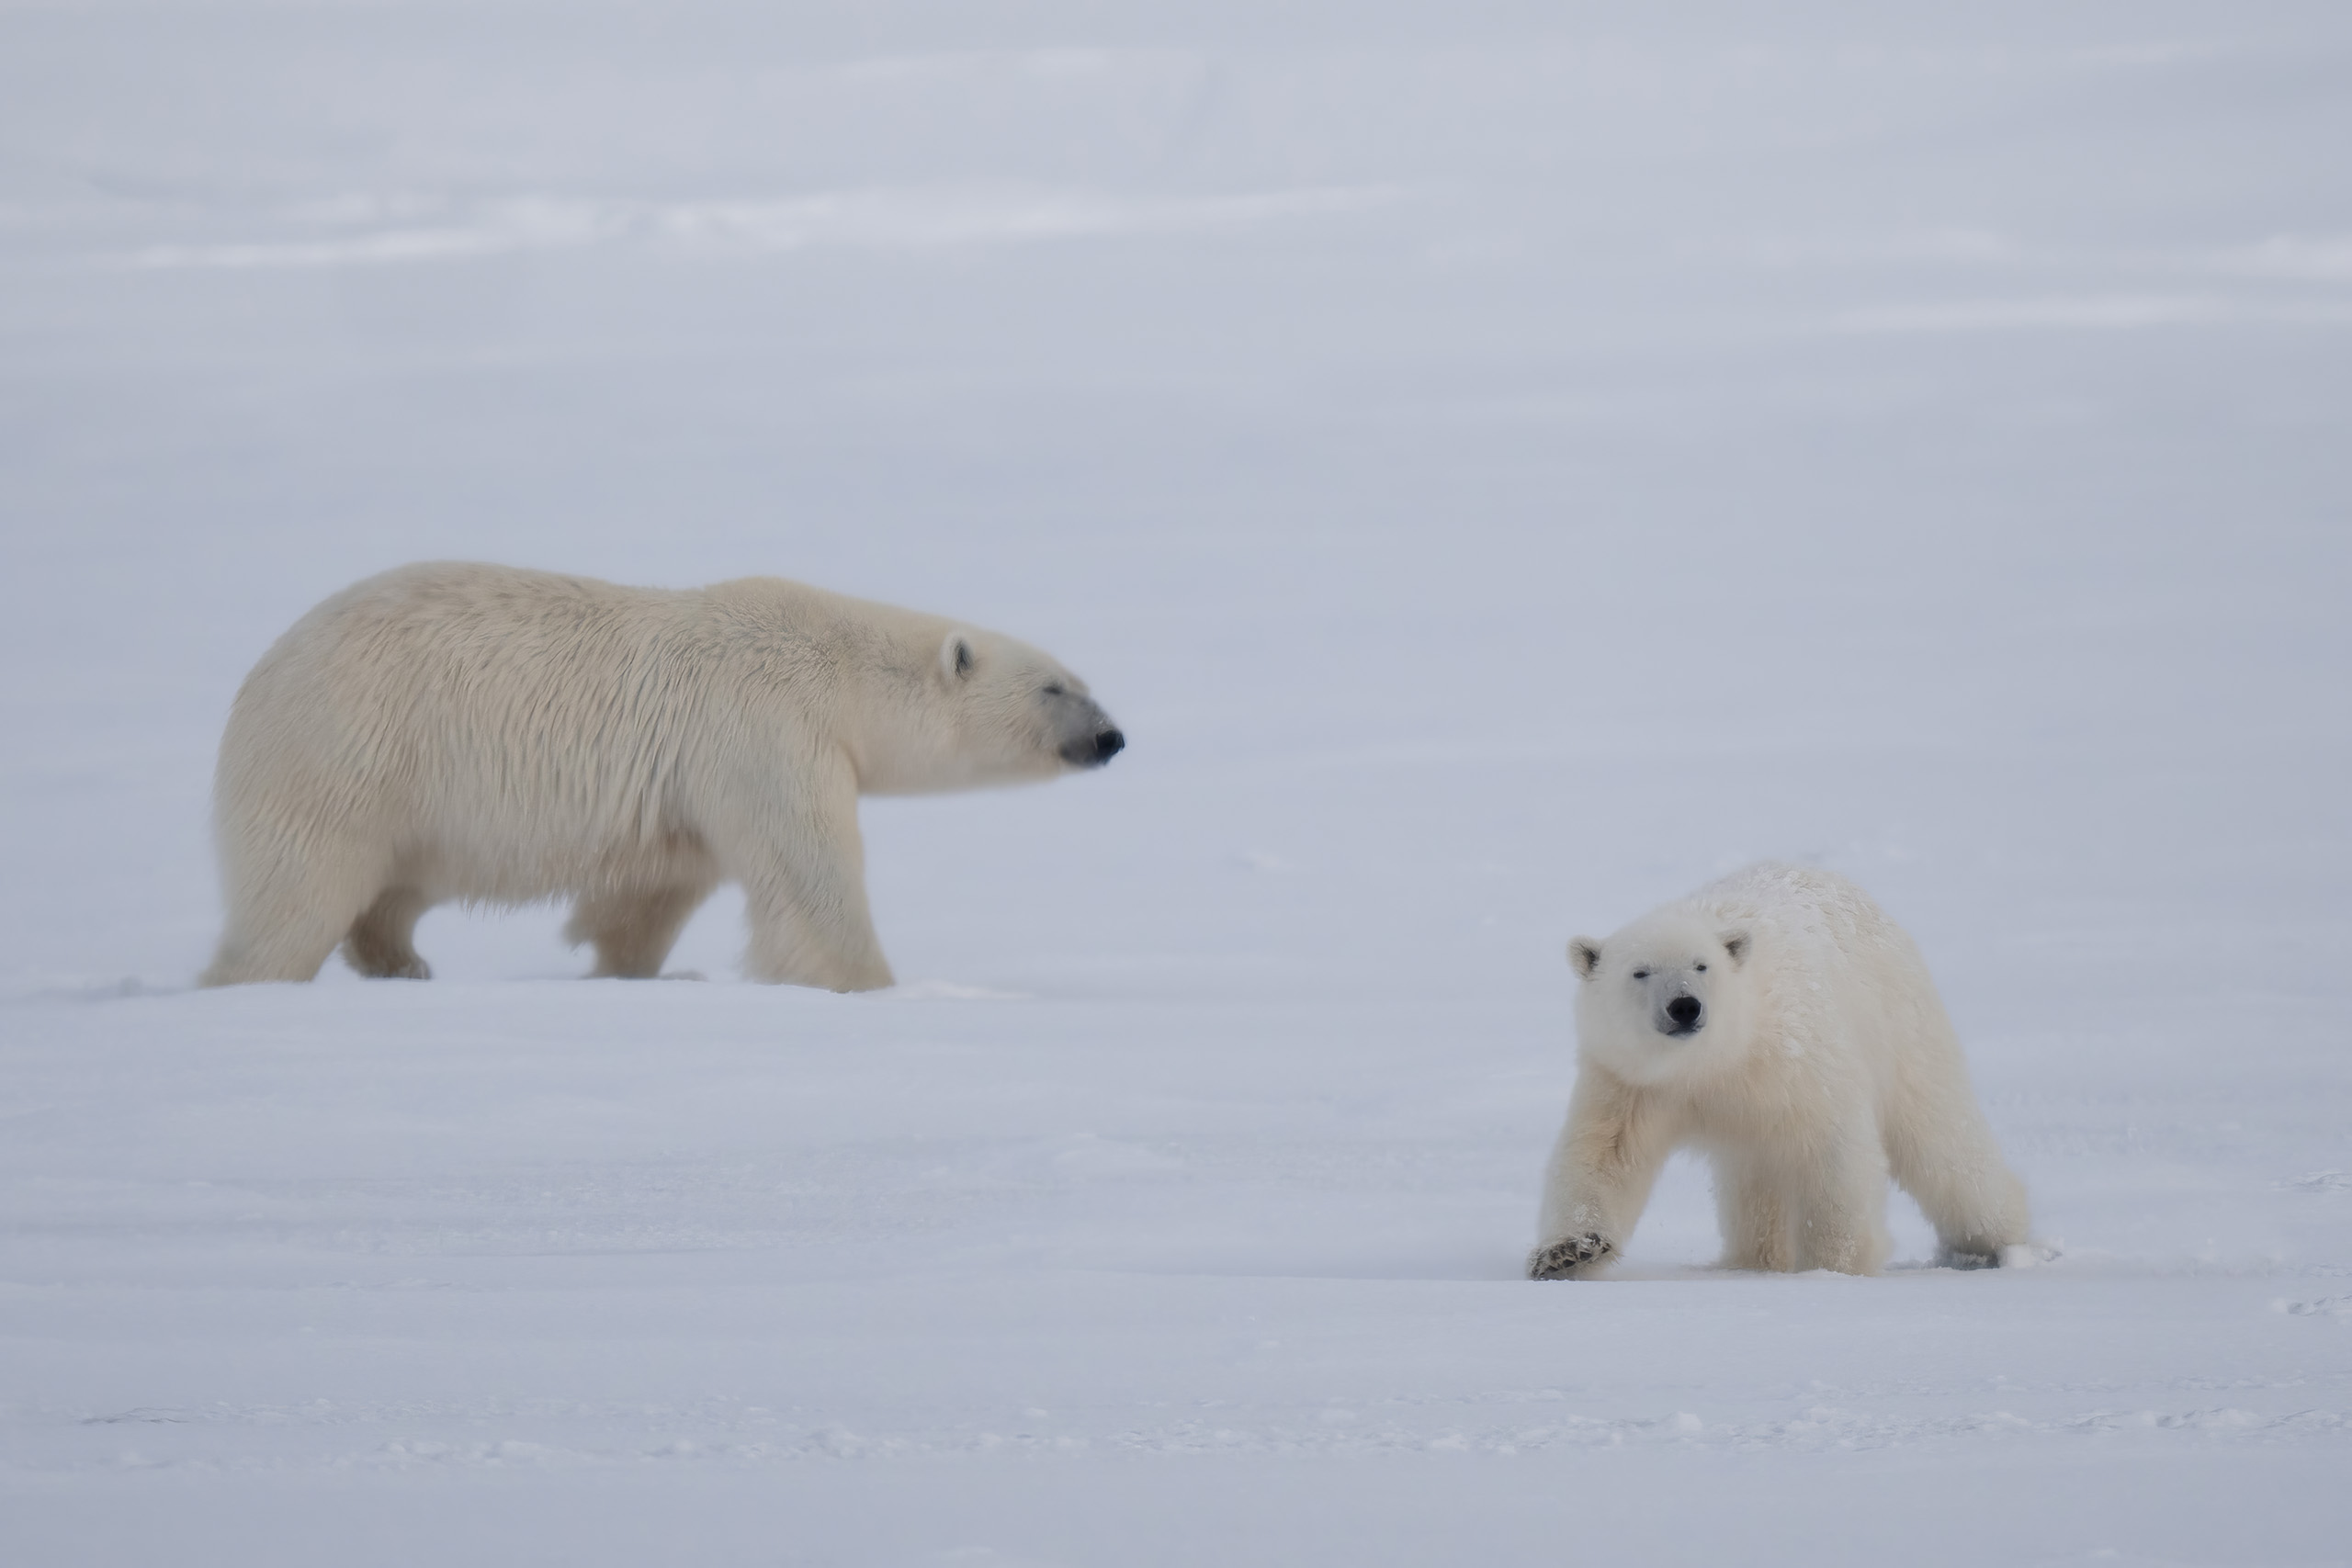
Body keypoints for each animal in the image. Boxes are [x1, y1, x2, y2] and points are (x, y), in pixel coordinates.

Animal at [198, 561, 1124, 991]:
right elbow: (809, 873)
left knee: (393, 886)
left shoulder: (693, 783)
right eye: (1055, 687)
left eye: (1085, 680)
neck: (840, 665)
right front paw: (869, 982)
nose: (1112, 736)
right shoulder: (767, 725)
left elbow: (655, 885)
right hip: (348, 750)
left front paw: (623, 967)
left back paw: (401, 961)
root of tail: (261, 672)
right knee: (301, 886)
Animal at [1533, 864, 2031, 1279]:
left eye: (1702, 965)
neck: (1713, 1061)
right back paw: (1750, 1260)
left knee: (1944, 1146)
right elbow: (1603, 1157)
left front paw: (1833, 1266)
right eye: (1640, 972)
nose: (1685, 1006)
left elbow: (1831, 1150)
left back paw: (1997, 1247)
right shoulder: (1630, 1082)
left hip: (1904, 1026)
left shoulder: (1794, 1059)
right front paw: (1568, 1253)